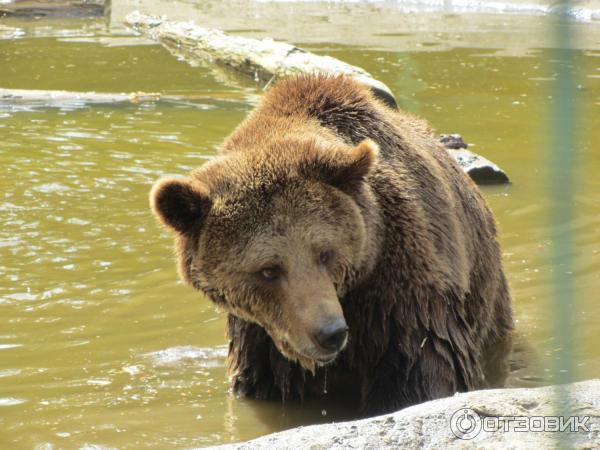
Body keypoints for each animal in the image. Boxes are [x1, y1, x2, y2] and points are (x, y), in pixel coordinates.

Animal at [149, 73, 510, 414]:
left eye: (325, 253)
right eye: (268, 270)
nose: (331, 333)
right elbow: (264, 380)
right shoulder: (262, 333)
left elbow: (421, 366)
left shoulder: (404, 286)